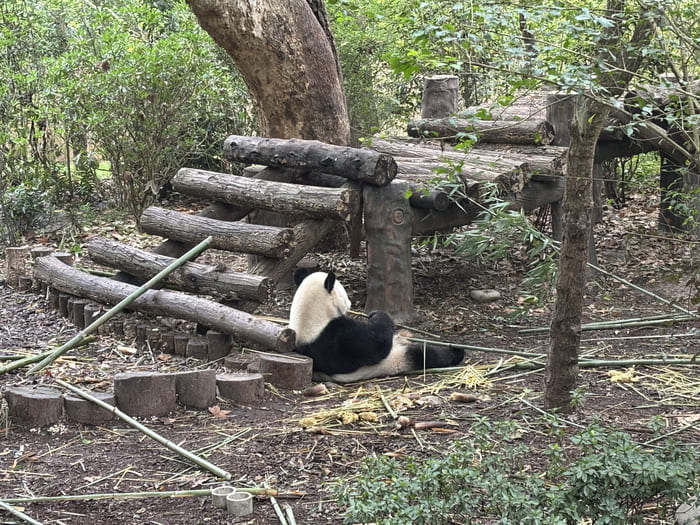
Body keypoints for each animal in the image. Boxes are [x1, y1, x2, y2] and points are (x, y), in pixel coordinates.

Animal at [288, 269, 465, 383]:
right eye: (345, 295)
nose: (350, 303)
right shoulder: (335, 338)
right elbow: (377, 344)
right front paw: (378, 315)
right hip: (397, 359)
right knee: (424, 354)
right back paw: (456, 352)